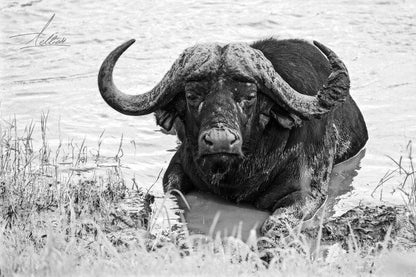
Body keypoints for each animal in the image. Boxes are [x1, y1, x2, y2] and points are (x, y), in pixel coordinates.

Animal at [97, 37, 368, 235]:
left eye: (249, 96)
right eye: (192, 95)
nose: (220, 140)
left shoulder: (308, 192)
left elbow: (276, 221)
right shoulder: (177, 167)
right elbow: (175, 192)